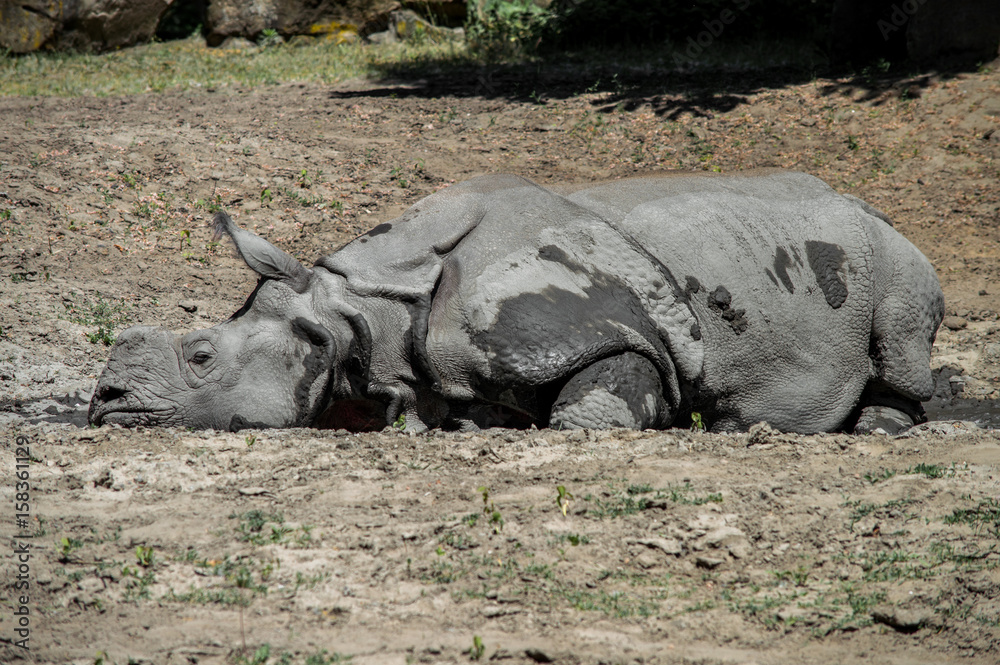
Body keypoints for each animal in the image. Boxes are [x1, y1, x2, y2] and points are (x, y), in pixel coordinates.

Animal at [88, 170, 944, 435]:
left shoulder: (610, 333)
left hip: (893, 249)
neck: (362, 312)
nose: (103, 403)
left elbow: (596, 403)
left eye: (200, 356)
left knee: (903, 333)